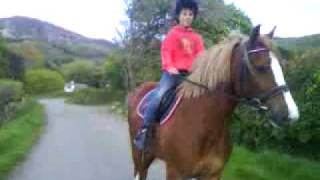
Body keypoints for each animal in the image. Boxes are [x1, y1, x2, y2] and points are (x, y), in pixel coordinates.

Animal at [126, 25, 298, 180]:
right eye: (261, 66)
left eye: (281, 66)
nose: (291, 114)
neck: (205, 122)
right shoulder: (175, 172)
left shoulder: (213, 174)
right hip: (138, 152)